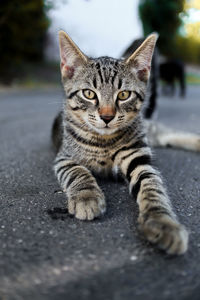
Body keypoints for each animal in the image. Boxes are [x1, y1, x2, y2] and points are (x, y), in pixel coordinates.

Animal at [51, 31, 198, 255]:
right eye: (89, 93)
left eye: (123, 95)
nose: (107, 116)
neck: (104, 141)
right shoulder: (64, 156)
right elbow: (78, 171)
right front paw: (87, 196)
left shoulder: (139, 158)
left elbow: (152, 187)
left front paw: (162, 222)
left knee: (169, 133)